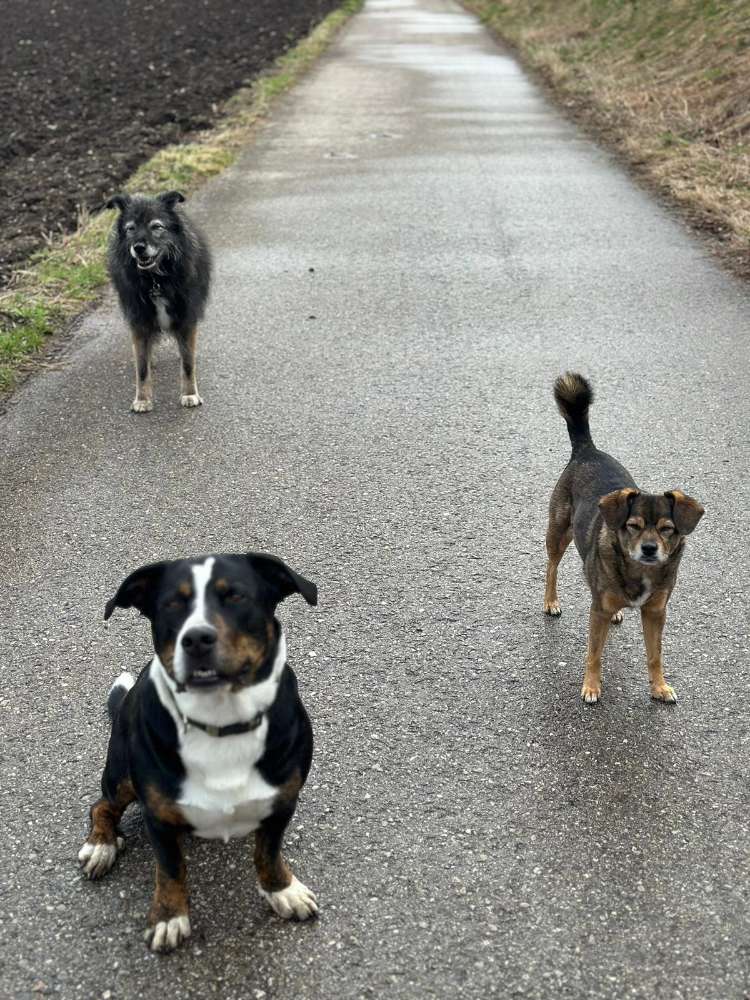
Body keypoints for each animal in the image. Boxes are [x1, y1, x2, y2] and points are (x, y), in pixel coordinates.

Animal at [80, 556, 320, 952]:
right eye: (172, 604)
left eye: (235, 595)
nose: (196, 639)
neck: (220, 721)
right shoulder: (158, 818)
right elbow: (170, 870)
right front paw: (168, 916)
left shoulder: (283, 802)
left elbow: (268, 853)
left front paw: (282, 890)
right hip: (121, 773)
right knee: (101, 806)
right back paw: (101, 845)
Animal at [106, 189, 212, 412]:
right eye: (130, 228)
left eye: (156, 227)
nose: (138, 247)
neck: (155, 279)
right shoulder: (139, 323)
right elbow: (141, 368)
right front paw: (142, 399)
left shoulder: (186, 320)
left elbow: (188, 363)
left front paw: (190, 394)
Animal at [544, 372, 708, 708]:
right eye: (633, 525)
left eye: (667, 528)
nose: (649, 548)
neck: (639, 570)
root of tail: (587, 450)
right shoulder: (598, 612)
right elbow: (594, 653)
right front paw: (591, 687)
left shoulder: (656, 612)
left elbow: (655, 655)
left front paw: (659, 686)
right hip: (558, 532)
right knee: (551, 568)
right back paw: (551, 602)